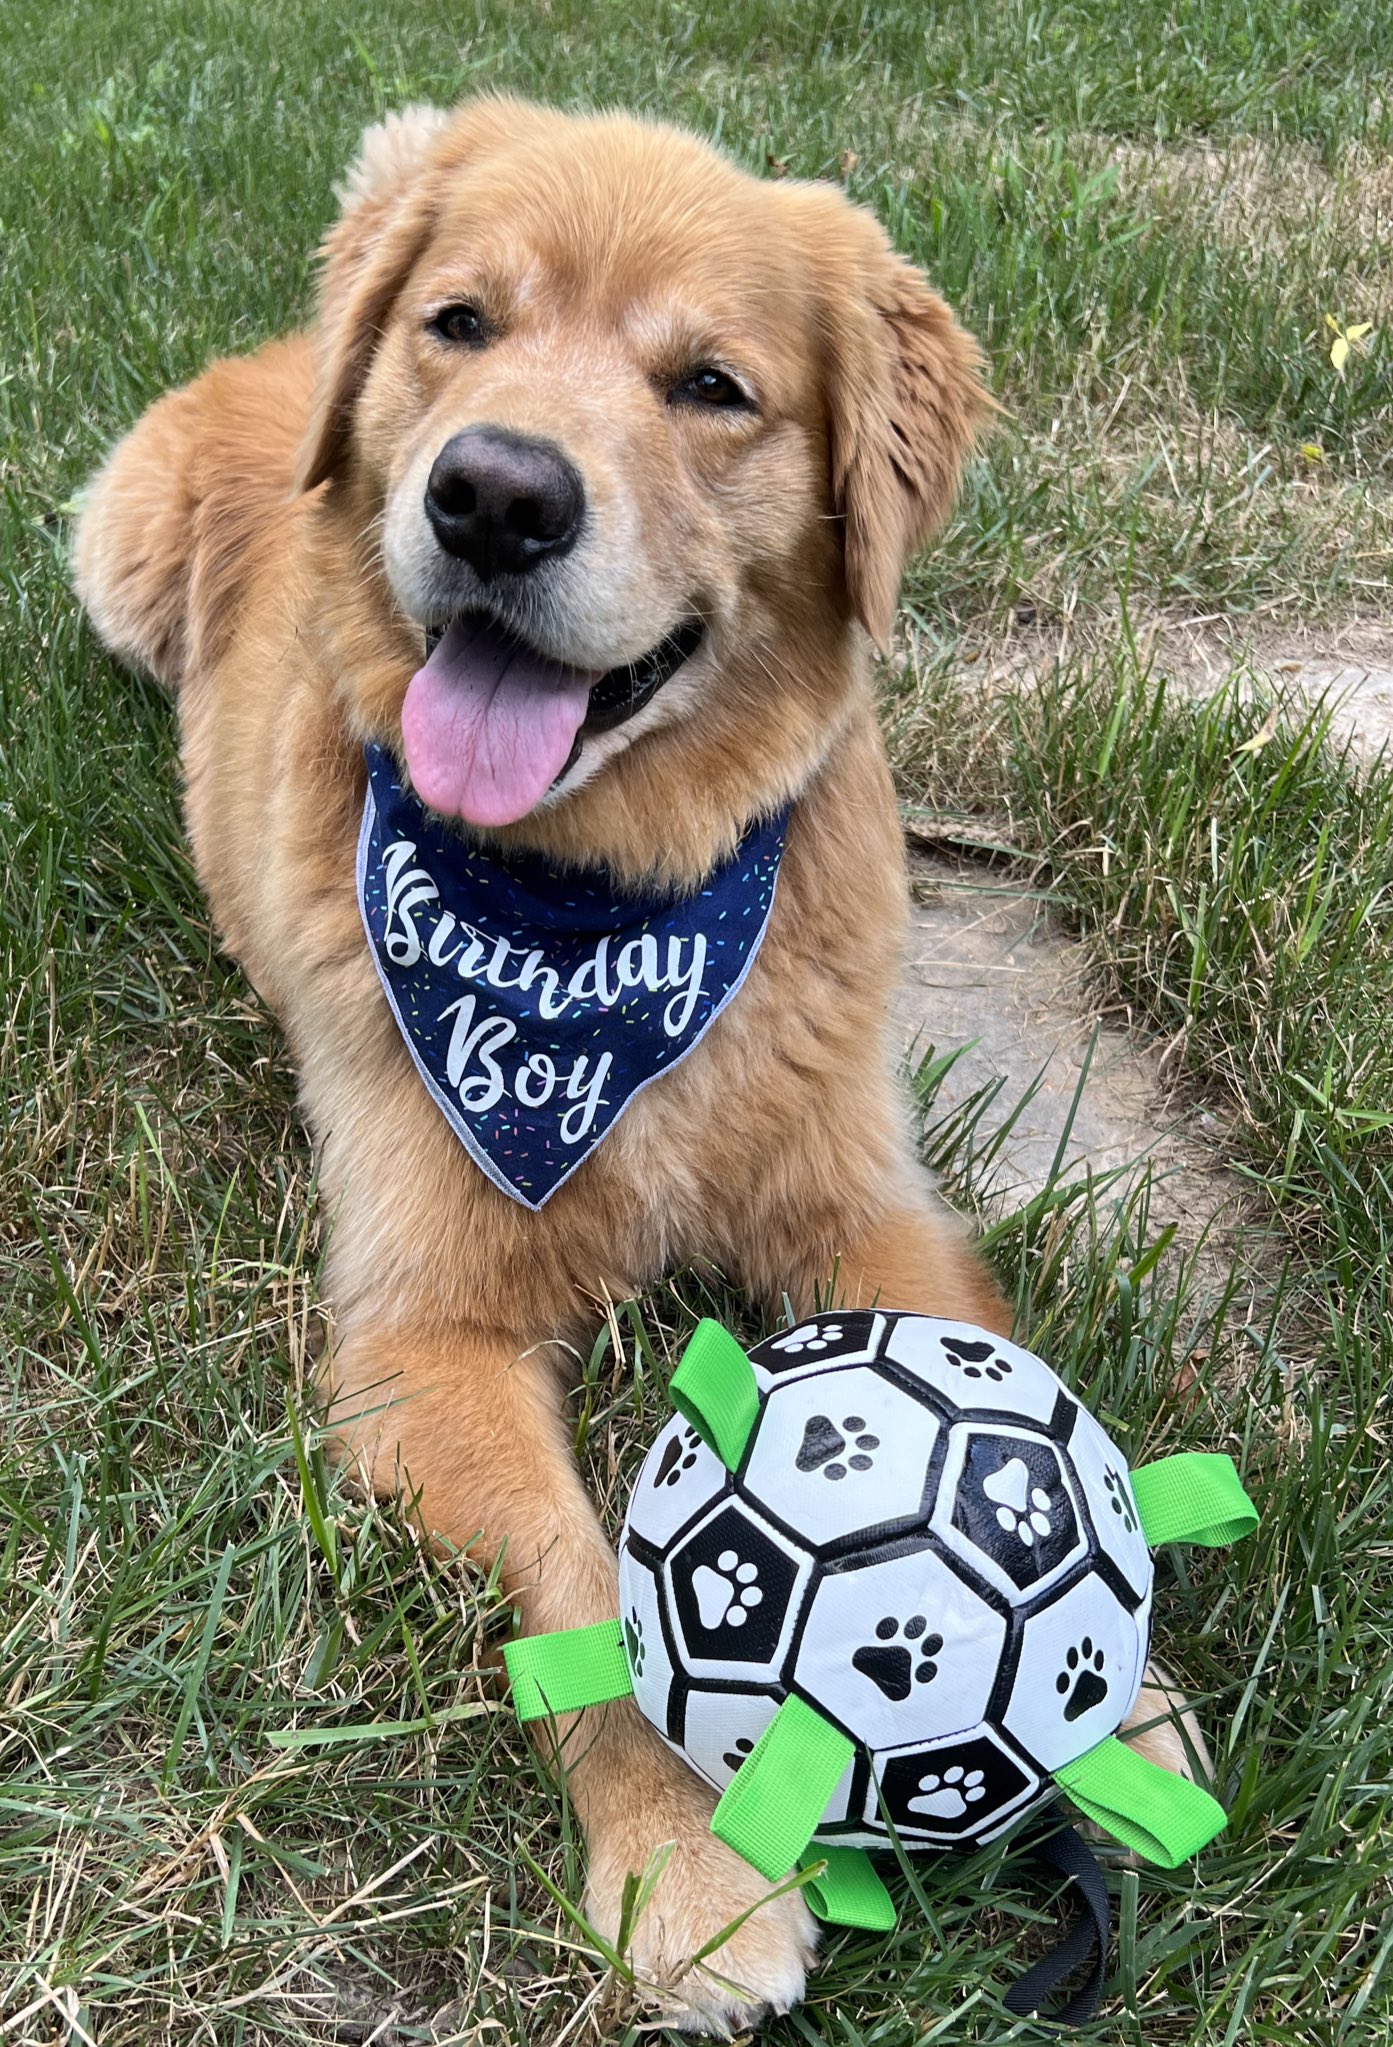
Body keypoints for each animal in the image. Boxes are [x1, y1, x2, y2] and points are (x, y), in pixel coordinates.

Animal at [74, 96, 1204, 2033]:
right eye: (459, 324)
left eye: (711, 385)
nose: (492, 492)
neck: (608, 898)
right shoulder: (422, 1333)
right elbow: (583, 1575)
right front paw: (688, 1857)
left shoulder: (860, 1202)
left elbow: (1018, 1410)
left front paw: (1109, 1701)